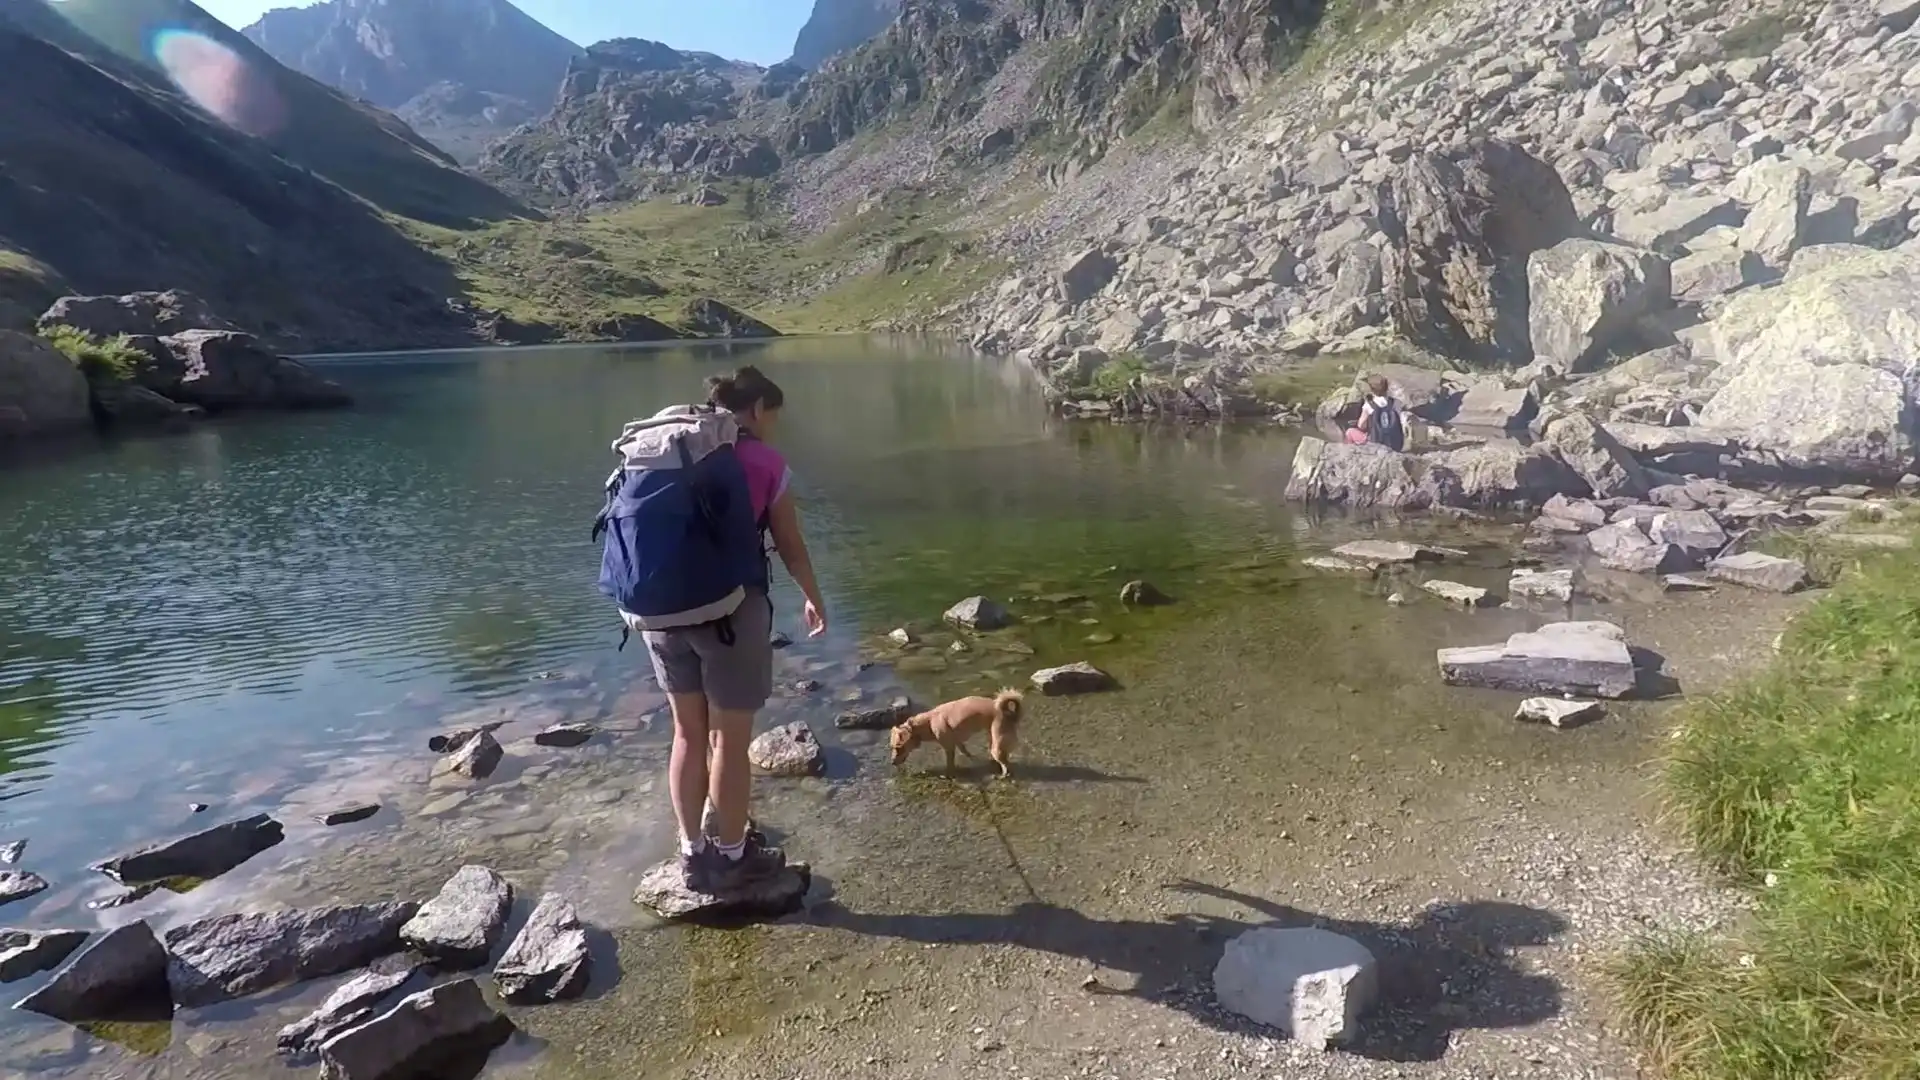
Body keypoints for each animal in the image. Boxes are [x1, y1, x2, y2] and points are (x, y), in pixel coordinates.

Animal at [890, 687, 1029, 772]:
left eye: (899, 747)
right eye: (892, 747)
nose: (892, 762)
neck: (928, 722)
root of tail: (1009, 713)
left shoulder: (949, 747)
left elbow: (950, 763)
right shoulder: (957, 742)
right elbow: (965, 751)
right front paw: (972, 758)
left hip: (997, 745)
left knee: (1006, 765)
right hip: (995, 739)